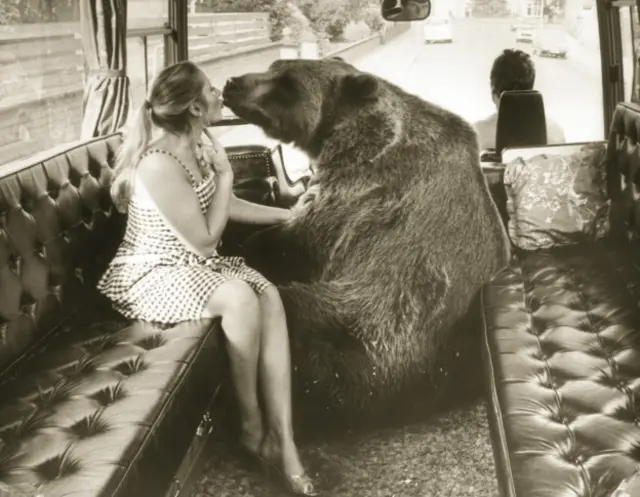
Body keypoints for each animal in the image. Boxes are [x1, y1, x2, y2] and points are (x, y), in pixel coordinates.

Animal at [222, 57, 511, 422]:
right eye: (274, 66)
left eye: (287, 84)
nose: (232, 83)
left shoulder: (357, 191)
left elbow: (296, 239)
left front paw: (251, 244)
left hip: (367, 327)